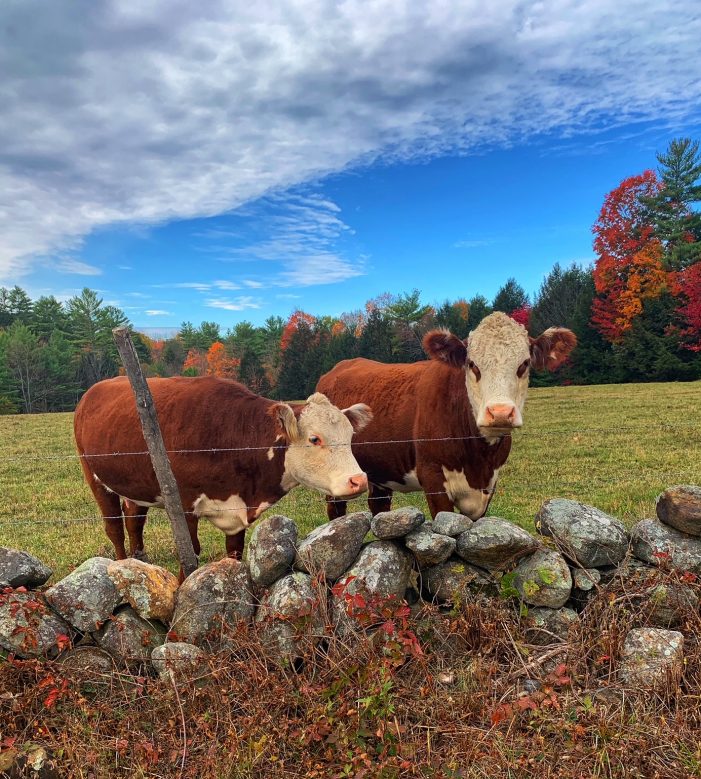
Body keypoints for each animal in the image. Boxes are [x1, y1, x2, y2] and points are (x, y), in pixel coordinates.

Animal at [72, 374, 372, 564]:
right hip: (94, 478)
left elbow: (234, 553)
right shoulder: (184, 505)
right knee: (114, 528)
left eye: (350, 435)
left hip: (135, 485)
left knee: (134, 520)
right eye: (314, 439)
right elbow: (191, 553)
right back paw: (121, 564)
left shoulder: (236, 509)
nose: (358, 480)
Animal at [316, 312, 576, 524]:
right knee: (336, 509)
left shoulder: (489, 485)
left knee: (378, 505)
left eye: (524, 364)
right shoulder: (433, 478)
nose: (500, 412)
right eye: (472, 364)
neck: (479, 458)